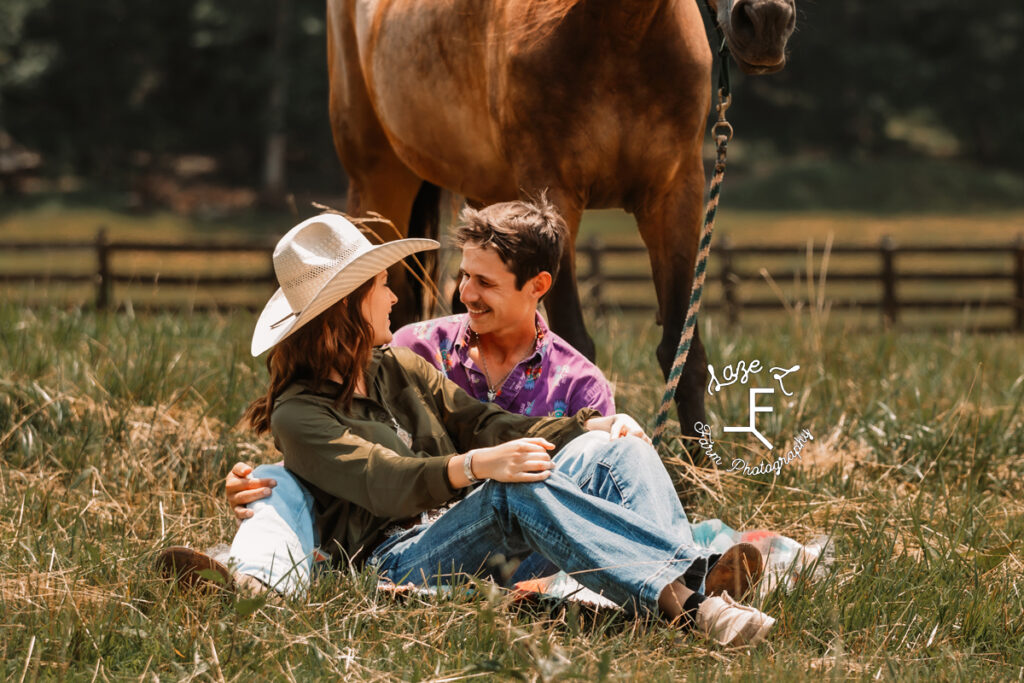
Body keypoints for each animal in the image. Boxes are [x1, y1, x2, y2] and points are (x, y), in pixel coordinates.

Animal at [323, 0, 794, 444]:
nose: (766, 19)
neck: (623, 36)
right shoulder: (554, 193)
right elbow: (575, 340)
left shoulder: (675, 195)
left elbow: (683, 349)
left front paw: (695, 471)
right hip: (379, 183)